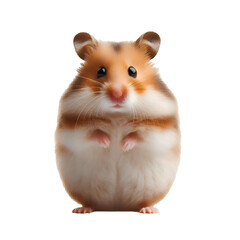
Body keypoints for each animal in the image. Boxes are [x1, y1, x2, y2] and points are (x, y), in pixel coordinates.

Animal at [55, 31, 180, 214]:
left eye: (132, 71)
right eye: (100, 71)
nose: (117, 94)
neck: (117, 115)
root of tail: (117, 206)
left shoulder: (160, 130)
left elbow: (139, 135)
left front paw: (123, 145)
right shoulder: (73, 130)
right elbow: (92, 133)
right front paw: (108, 143)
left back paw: (148, 210)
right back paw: (82, 209)